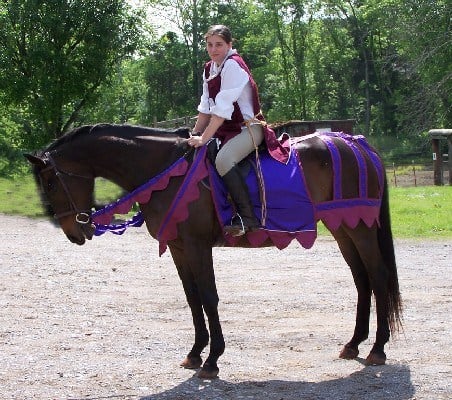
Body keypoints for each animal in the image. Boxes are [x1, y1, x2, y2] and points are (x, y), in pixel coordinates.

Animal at [25, 123, 402, 380]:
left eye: (50, 182)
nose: (73, 231)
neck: (167, 171)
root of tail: (356, 143)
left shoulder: (196, 246)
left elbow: (209, 297)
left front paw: (212, 359)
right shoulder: (178, 248)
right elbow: (193, 299)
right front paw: (195, 352)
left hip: (360, 228)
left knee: (378, 275)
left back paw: (378, 348)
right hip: (343, 227)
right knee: (362, 280)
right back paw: (354, 343)